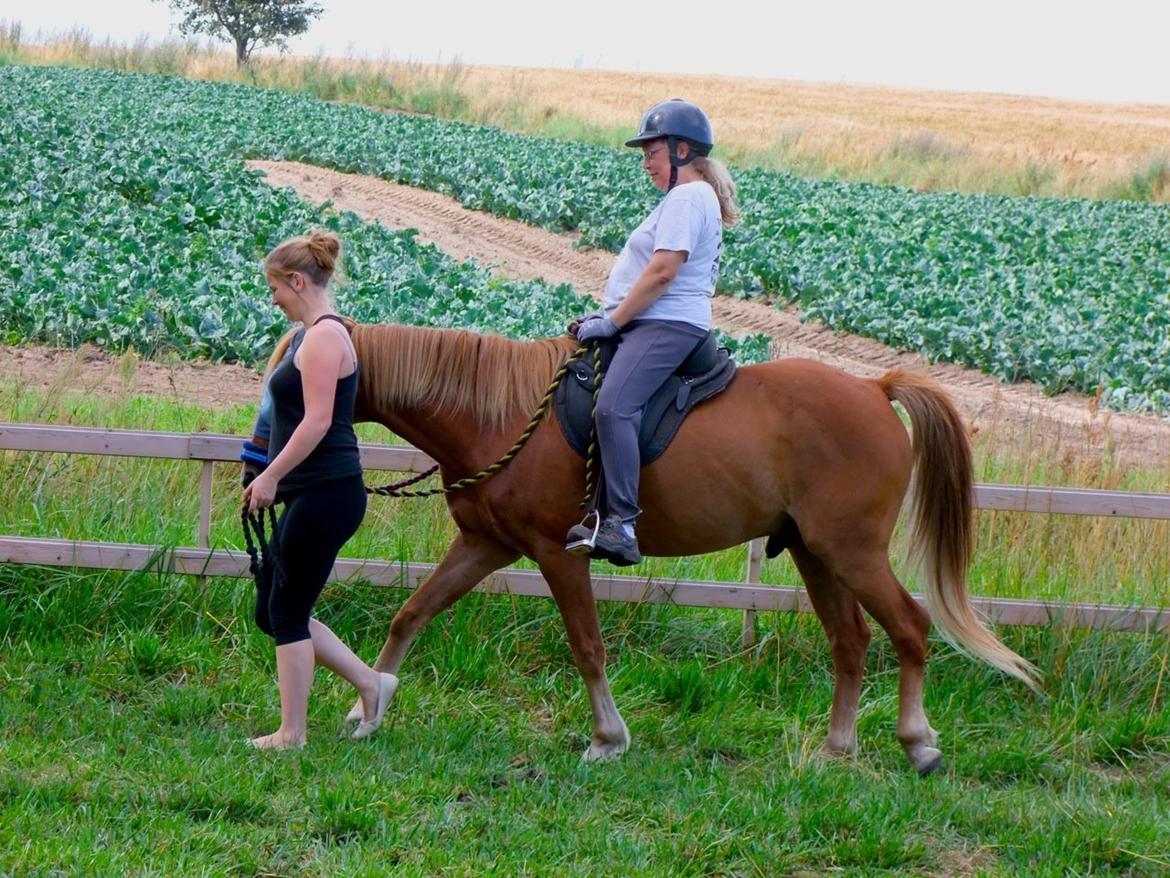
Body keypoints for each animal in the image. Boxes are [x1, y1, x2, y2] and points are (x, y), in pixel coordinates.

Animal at [276, 320, 1043, 772]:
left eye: (295, 382)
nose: (270, 460)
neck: (498, 413)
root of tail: (875, 387)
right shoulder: (485, 546)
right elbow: (412, 614)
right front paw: (366, 709)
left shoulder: (556, 554)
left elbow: (587, 647)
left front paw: (607, 739)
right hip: (816, 554)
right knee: (850, 642)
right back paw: (835, 747)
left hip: (852, 553)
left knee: (910, 628)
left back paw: (918, 742)